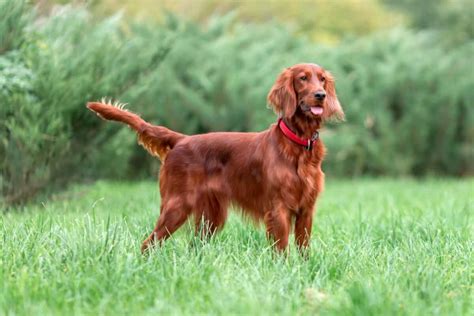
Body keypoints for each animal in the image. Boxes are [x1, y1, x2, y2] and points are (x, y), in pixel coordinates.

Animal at [87, 63, 342, 253]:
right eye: (302, 78)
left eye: (322, 79)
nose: (321, 95)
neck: (298, 143)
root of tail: (181, 140)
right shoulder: (278, 208)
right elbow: (281, 249)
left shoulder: (306, 209)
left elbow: (303, 248)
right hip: (177, 205)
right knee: (149, 243)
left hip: (210, 216)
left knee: (192, 246)